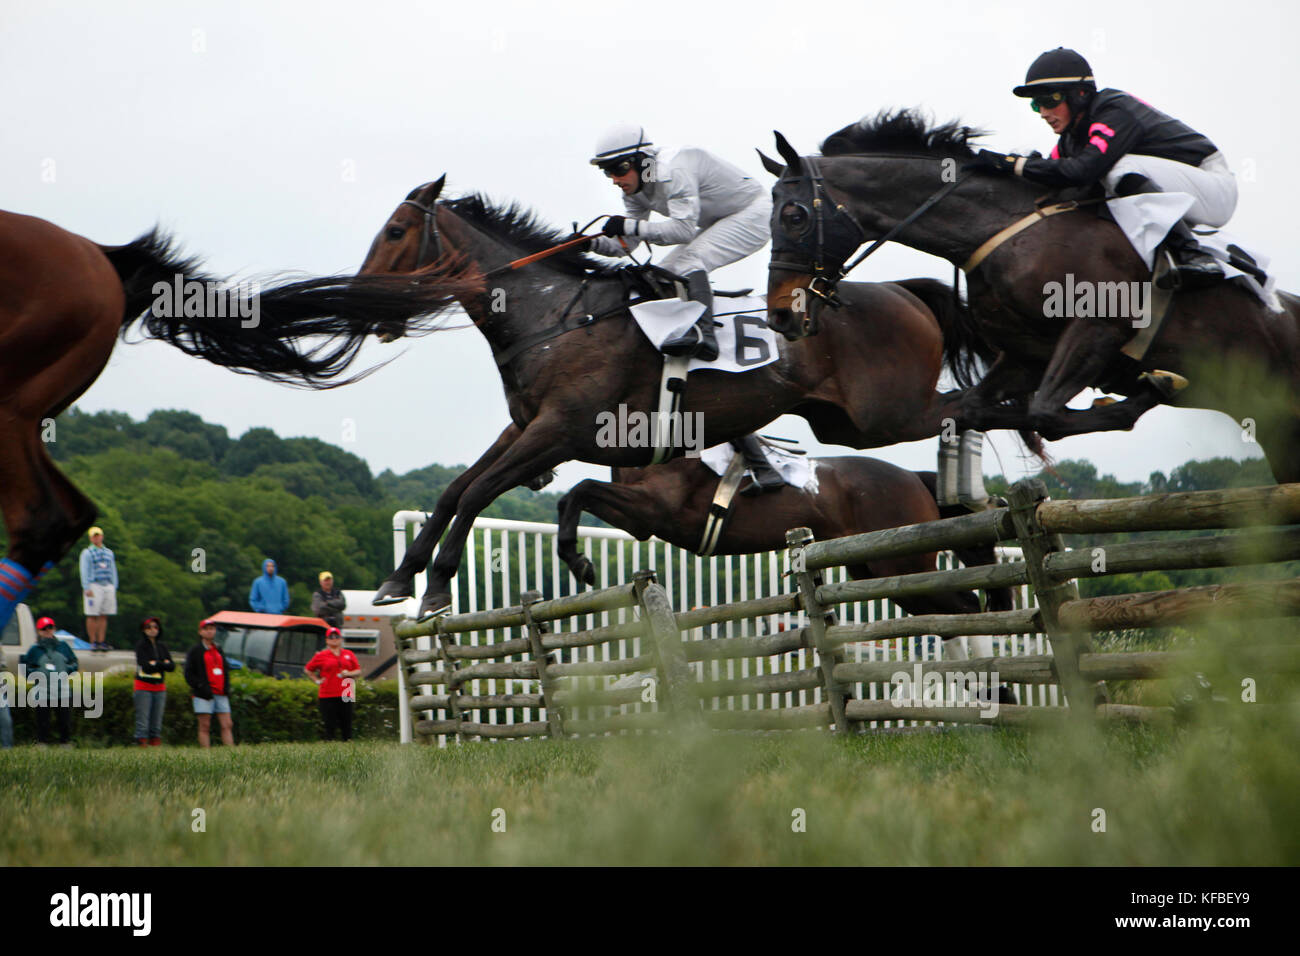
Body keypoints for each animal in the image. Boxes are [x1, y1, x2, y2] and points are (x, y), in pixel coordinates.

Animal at [553, 457, 1008, 621]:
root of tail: (914, 477)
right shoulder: (640, 519)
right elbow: (577, 493)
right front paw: (576, 557)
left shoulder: (652, 509)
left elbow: (581, 489)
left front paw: (577, 559)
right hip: (873, 570)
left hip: (901, 564)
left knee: (967, 606)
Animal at [759, 113, 1300, 481]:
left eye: (793, 216)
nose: (782, 315)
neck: (994, 228)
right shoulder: (1026, 354)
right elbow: (979, 409)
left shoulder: (1095, 328)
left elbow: (1044, 413)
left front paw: (1146, 392)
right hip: (1276, 428)